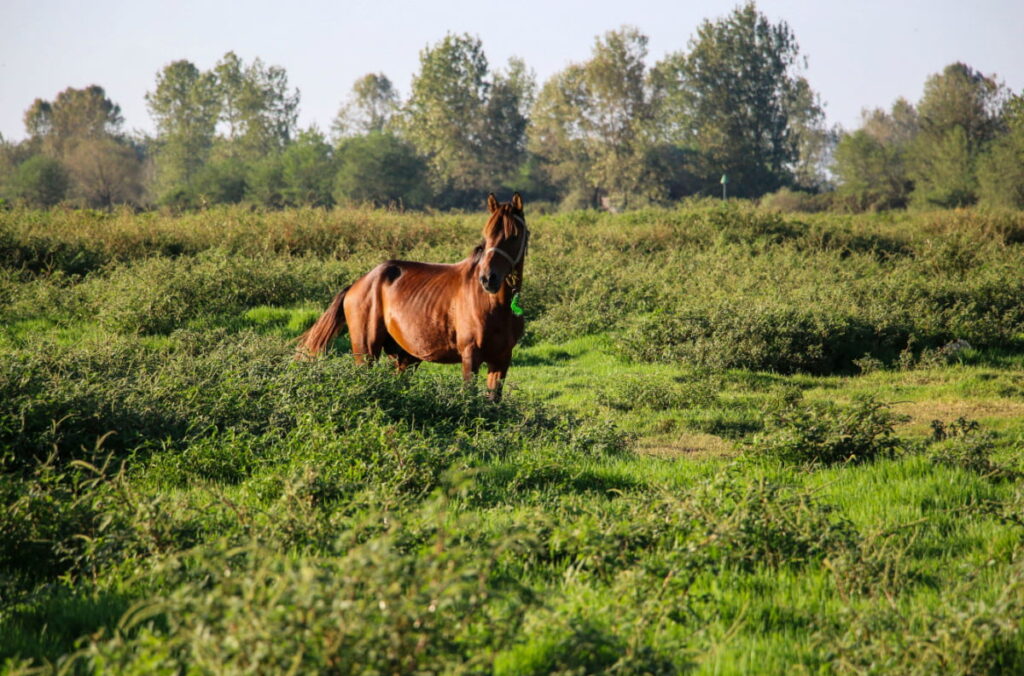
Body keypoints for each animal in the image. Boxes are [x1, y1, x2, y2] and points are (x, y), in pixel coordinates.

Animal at [299, 191, 528, 401]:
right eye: (486, 236)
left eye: (514, 236)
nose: (488, 279)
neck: (494, 306)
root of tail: (356, 284)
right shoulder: (470, 356)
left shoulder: (501, 359)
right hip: (366, 352)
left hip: (405, 357)